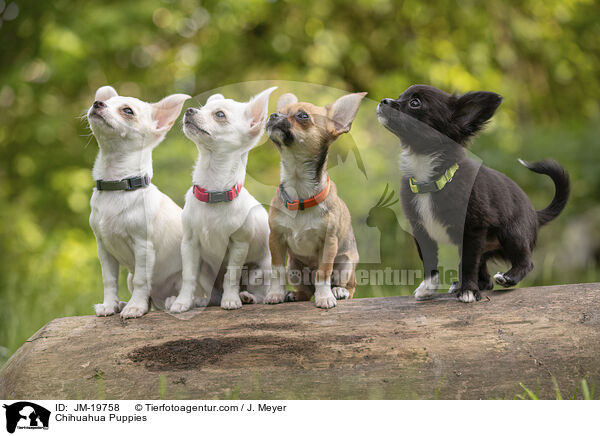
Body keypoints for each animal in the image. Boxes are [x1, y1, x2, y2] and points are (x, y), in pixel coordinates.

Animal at [86, 85, 190, 318]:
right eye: (104, 102)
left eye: (127, 111)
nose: (97, 103)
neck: (117, 184)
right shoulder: (103, 249)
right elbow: (109, 280)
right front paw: (109, 305)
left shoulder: (143, 247)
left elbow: (143, 281)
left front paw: (135, 307)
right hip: (129, 276)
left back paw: (172, 301)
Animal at [165, 87, 276, 312]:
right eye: (202, 108)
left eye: (220, 114)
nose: (189, 110)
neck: (213, 190)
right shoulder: (189, 244)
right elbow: (188, 276)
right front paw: (182, 302)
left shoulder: (239, 245)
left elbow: (231, 275)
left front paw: (231, 299)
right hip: (206, 271)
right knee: (211, 293)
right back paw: (201, 301)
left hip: (261, 270)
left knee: (260, 292)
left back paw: (248, 297)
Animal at [266, 92, 368, 310]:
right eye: (280, 111)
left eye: (302, 116)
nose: (273, 115)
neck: (300, 191)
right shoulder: (276, 239)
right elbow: (276, 270)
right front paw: (275, 294)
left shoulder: (328, 243)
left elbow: (323, 272)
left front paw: (325, 297)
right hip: (294, 267)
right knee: (306, 292)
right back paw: (293, 294)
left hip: (346, 263)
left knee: (349, 286)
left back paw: (338, 291)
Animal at [378, 85, 568, 304]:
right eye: (400, 96)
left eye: (414, 103)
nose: (383, 101)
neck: (431, 178)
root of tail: (535, 214)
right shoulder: (421, 230)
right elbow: (430, 261)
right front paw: (428, 288)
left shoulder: (472, 229)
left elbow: (468, 264)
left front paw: (468, 290)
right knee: (486, 278)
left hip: (513, 232)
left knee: (525, 262)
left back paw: (507, 277)